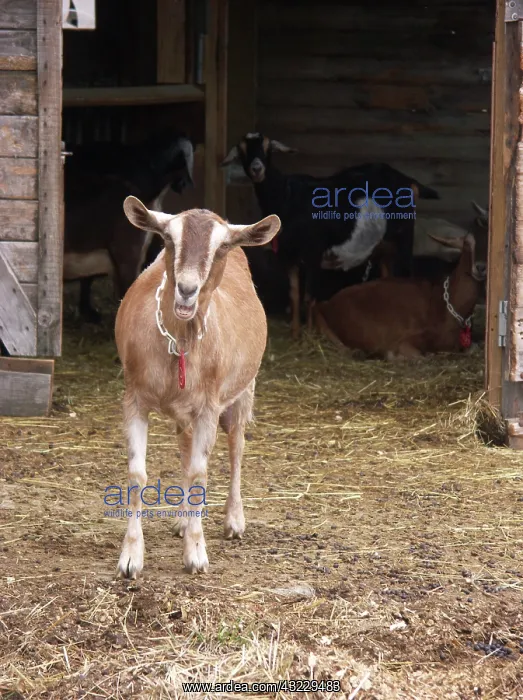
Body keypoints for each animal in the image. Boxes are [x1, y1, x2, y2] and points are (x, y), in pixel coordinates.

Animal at [115, 196, 280, 578]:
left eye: (220, 247)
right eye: (167, 239)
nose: (187, 290)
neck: (179, 342)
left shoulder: (209, 405)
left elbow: (201, 472)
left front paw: (196, 554)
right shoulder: (134, 399)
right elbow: (138, 474)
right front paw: (131, 558)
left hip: (242, 391)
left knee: (236, 446)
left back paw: (233, 521)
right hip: (185, 412)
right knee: (185, 447)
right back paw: (181, 520)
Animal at [221, 133, 438, 338]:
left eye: (267, 147)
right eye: (241, 149)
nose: (257, 169)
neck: (286, 196)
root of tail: (409, 182)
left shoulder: (313, 252)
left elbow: (309, 297)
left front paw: (309, 335)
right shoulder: (288, 255)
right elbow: (294, 295)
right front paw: (295, 334)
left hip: (404, 235)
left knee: (407, 273)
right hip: (384, 245)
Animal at [313, 229, 488, 359]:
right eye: (467, 243)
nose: (480, 267)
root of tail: (330, 303)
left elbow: (474, 347)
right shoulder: (407, 339)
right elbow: (419, 356)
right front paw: (394, 356)